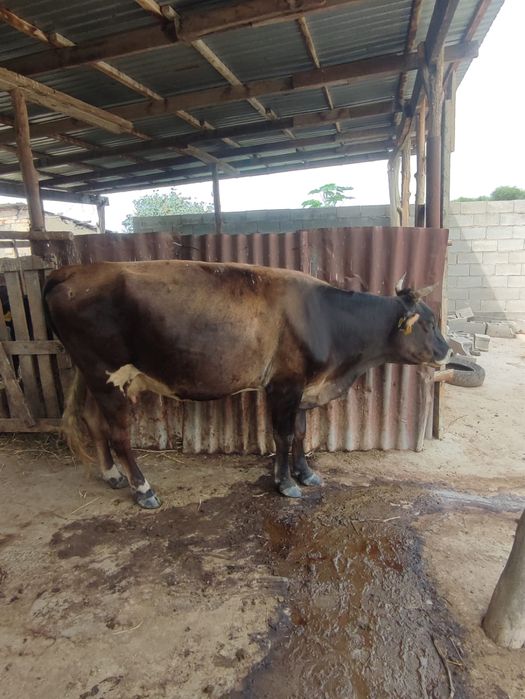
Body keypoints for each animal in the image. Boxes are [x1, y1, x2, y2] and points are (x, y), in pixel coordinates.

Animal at [43, 259, 451, 509]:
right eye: (429, 324)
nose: (447, 351)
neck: (327, 319)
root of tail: (71, 271)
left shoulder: (302, 387)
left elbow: (301, 432)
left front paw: (306, 473)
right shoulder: (284, 385)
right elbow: (283, 435)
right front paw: (286, 484)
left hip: (97, 376)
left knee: (94, 423)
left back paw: (111, 475)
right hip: (105, 374)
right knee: (119, 435)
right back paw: (143, 490)